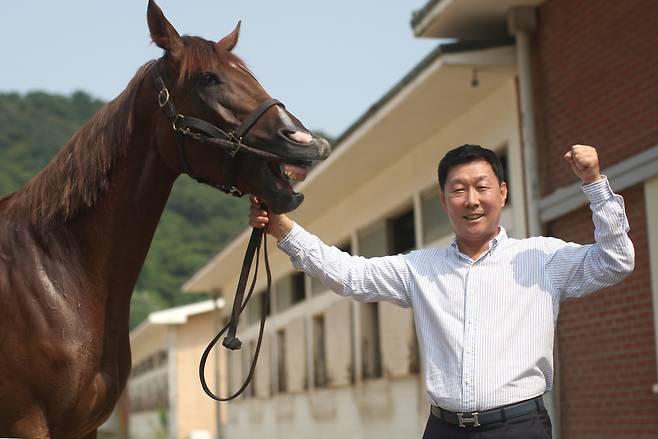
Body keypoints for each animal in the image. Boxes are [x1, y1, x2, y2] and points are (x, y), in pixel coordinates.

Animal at [0, 1, 328, 438]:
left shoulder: (85, 427)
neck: (55, 272)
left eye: (250, 75)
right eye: (207, 78)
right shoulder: (27, 422)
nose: (307, 143)